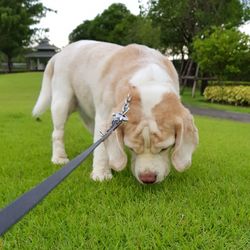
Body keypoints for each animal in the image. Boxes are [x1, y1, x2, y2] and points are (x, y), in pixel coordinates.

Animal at [32, 40, 197, 184]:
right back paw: (59, 158)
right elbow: (102, 149)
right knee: (57, 133)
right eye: (131, 148)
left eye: (165, 148)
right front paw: (101, 175)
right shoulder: (105, 117)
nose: (148, 179)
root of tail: (59, 53)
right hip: (62, 101)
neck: (149, 81)